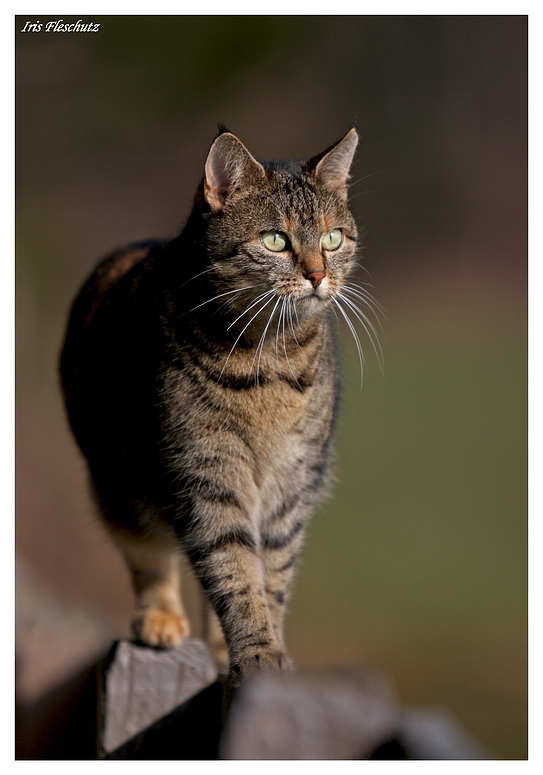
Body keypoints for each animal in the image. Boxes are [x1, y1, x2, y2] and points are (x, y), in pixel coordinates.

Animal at [59, 127, 374, 692]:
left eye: (333, 239)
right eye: (275, 240)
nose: (318, 276)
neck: (269, 358)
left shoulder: (289, 490)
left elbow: (270, 578)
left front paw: (260, 650)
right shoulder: (206, 476)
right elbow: (234, 573)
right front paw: (257, 653)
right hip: (119, 488)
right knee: (150, 557)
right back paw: (160, 619)